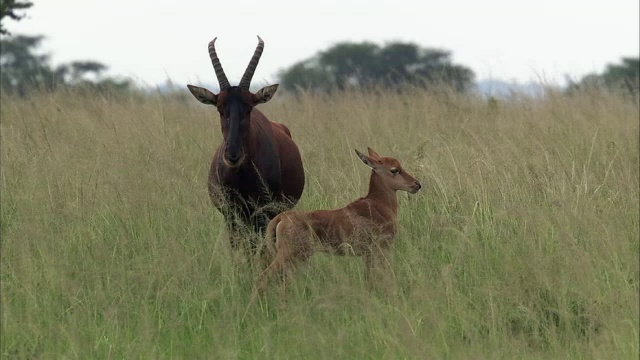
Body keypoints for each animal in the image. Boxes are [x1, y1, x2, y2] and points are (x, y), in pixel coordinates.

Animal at [188, 35, 304, 256]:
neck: (240, 175)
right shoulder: (231, 215)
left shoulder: (262, 212)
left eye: (249, 107)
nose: (233, 155)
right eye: (219, 107)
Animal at [252, 148, 422, 294]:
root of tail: (281, 218)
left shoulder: (367, 254)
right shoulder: (381, 249)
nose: (417, 184)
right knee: (262, 278)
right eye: (394, 170)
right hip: (288, 256)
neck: (378, 204)